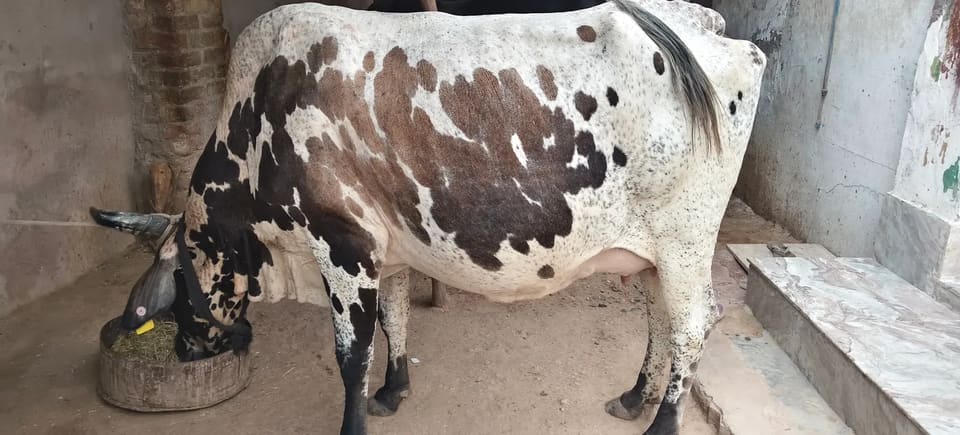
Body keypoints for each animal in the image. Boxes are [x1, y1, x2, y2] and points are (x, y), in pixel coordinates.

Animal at [91, 1, 765, 434]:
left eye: (175, 289)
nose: (185, 351)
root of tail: (705, 24)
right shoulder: (385, 249)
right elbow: (395, 320)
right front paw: (393, 391)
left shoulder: (343, 247)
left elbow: (351, 353)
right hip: (657, 252)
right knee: (663, 319)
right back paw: (634, 398)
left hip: (685, 241)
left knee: (693, 325)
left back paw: (664, 422)